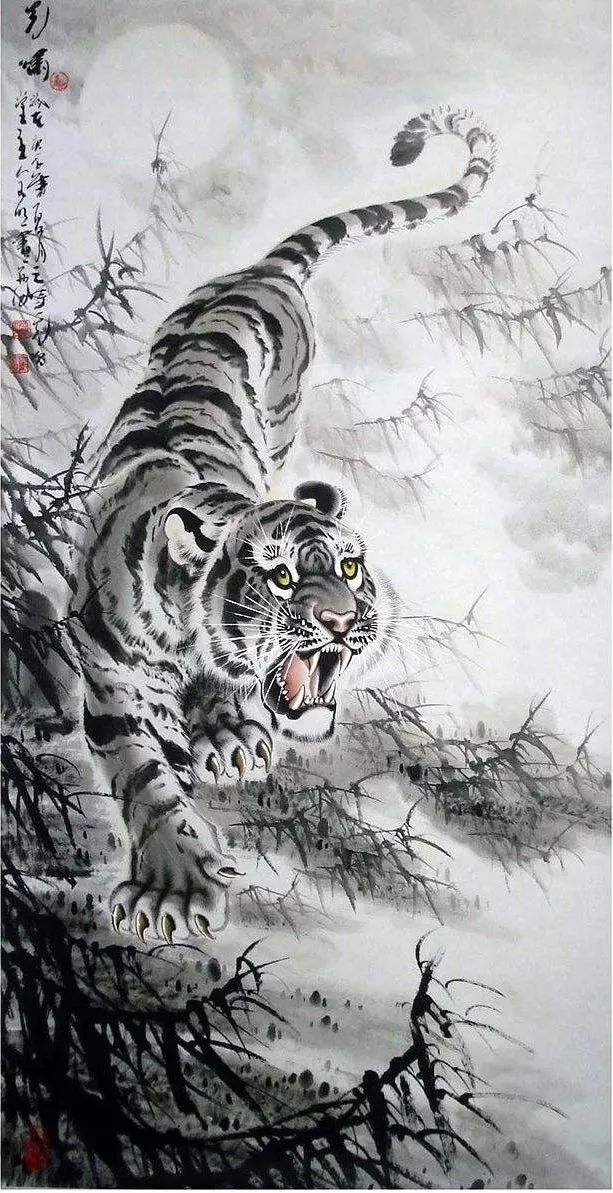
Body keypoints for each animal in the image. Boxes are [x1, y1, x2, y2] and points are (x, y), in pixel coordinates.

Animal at [75, 107, 495, 944]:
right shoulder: (102, 676)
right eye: (277, 576)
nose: (347, 621)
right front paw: (173, 886)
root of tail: (258, 271)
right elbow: (141, 775)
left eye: (351, 566)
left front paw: (228, 739)